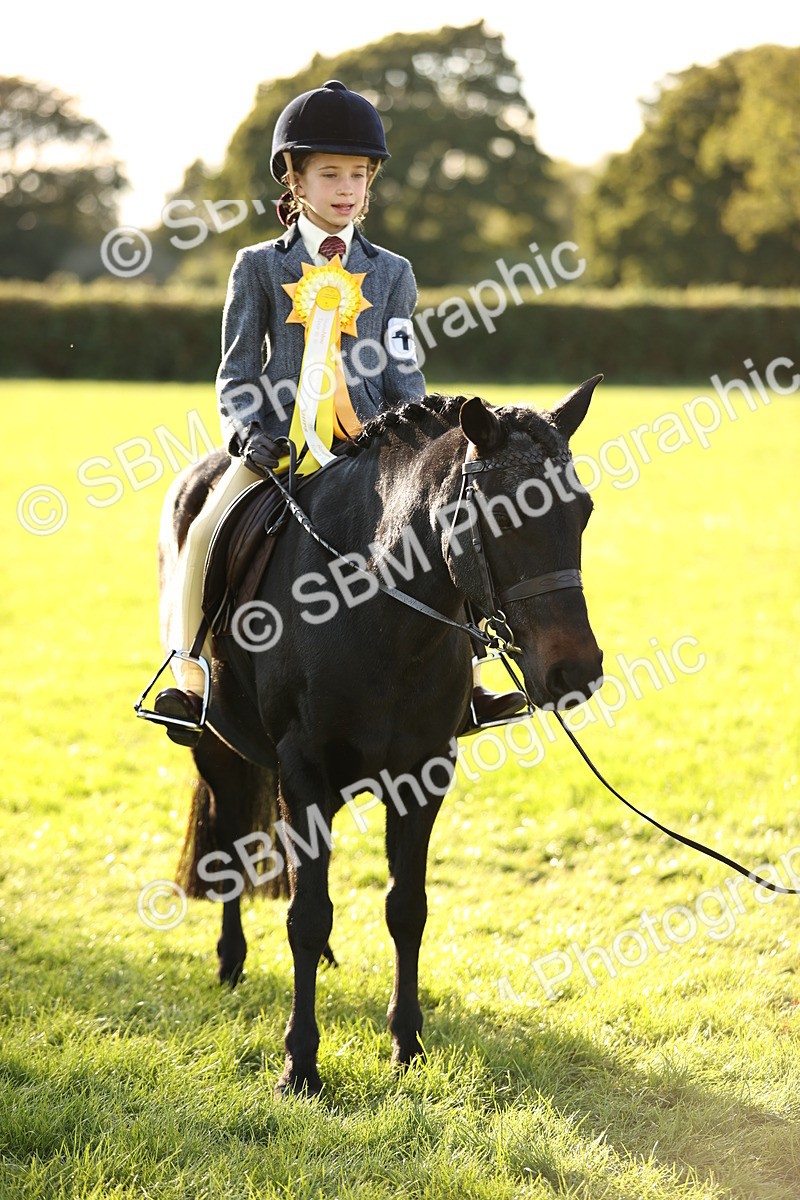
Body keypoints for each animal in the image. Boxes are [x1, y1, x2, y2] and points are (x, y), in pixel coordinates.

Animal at [157, 376, 605, 1096]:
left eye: (583, 510)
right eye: (500, 515)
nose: (576, 670)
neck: (378, 612)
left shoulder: (423, 775)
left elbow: (406, 909)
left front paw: (407, 1043)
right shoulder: (303, 772)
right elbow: (307, 915)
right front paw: (300, 1065)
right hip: (213, 744)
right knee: (228, 839)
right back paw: (230, 961)